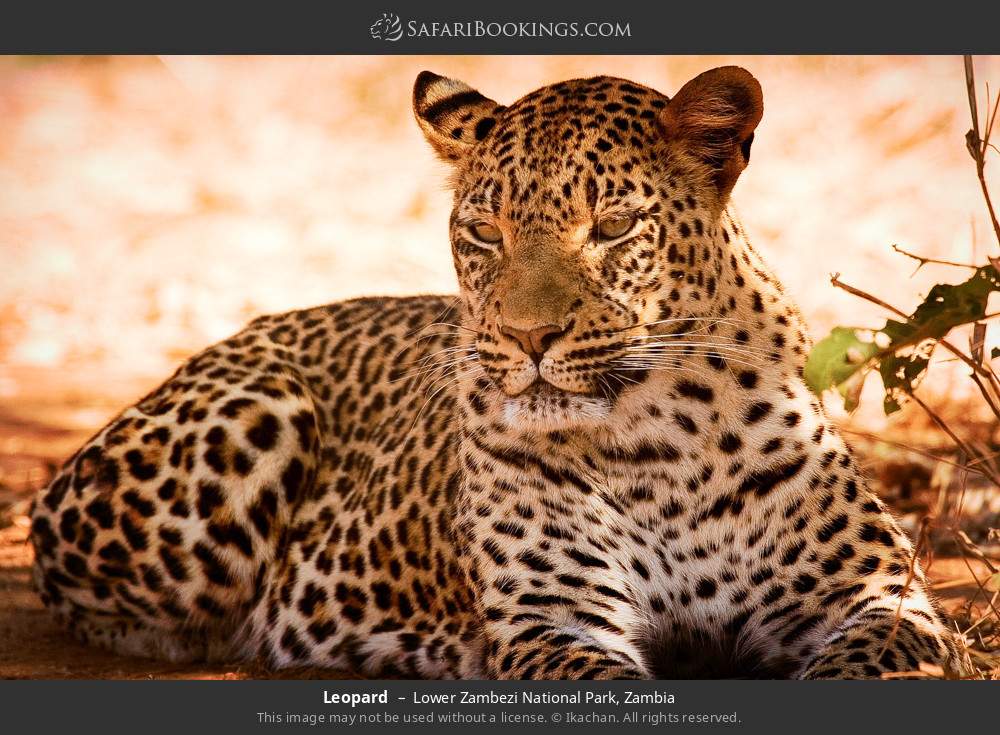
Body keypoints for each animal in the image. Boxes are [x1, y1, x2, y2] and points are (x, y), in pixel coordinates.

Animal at [29, 66, 968, 679]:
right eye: (484, 232)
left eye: (613, 226)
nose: (527, 337)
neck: (657, 435)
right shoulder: (554, 620)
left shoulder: (881, 595)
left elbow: (869, 662)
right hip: (249, 424)